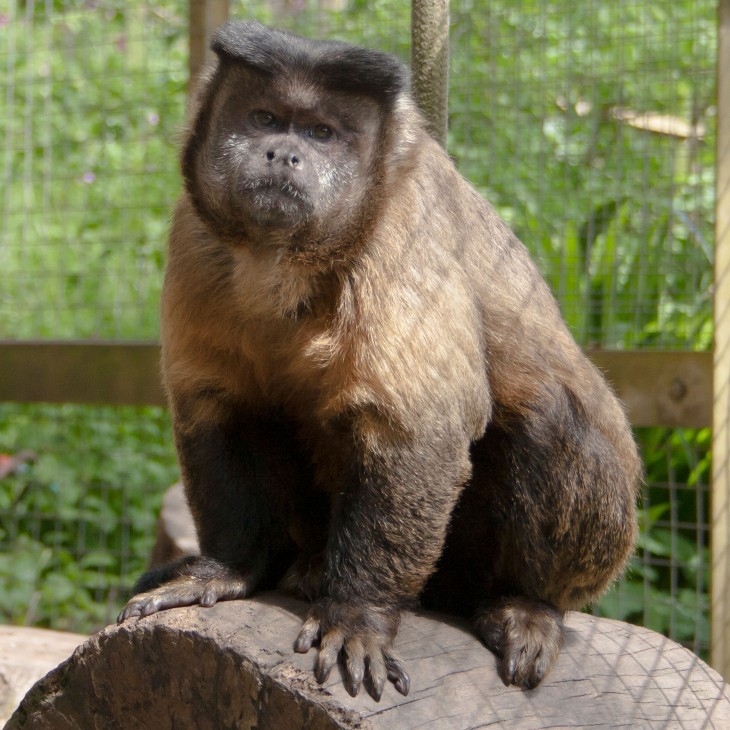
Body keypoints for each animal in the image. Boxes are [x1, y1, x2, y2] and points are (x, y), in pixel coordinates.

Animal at [118, 20, 641, 701]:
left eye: (321, 134)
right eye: (264, 119)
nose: (284, 153)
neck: (288, 263)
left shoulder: (399, 228)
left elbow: (415, 433)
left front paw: (359, 615)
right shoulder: (196, 235)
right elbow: (218, 407)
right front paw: (228, 569)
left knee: (550, 410)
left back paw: (527, 603)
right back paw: (305, 566)